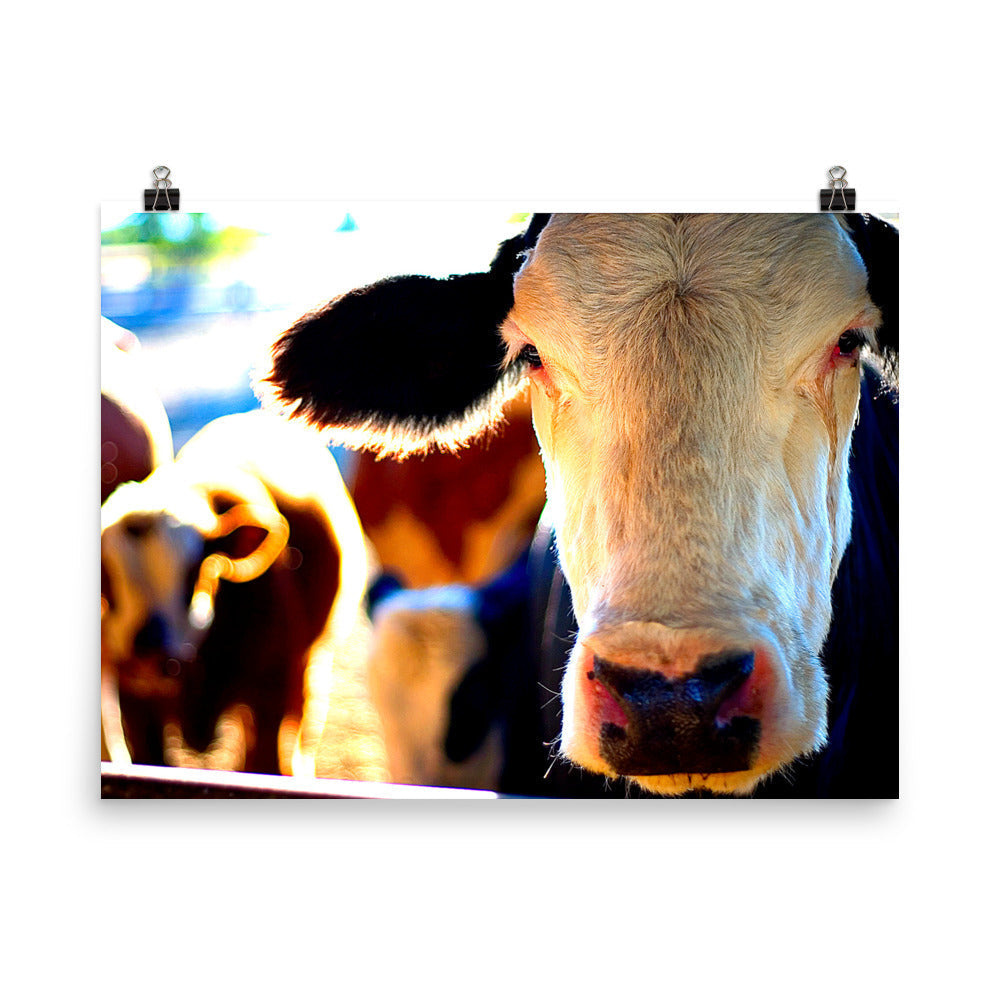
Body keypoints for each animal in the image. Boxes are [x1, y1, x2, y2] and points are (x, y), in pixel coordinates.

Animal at [100, 409, 389, 782]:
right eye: (108, 580)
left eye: (194, 573)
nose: (148, 653)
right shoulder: (135, 703)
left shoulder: (271, 690)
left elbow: (266, 763)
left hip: (309, 665)